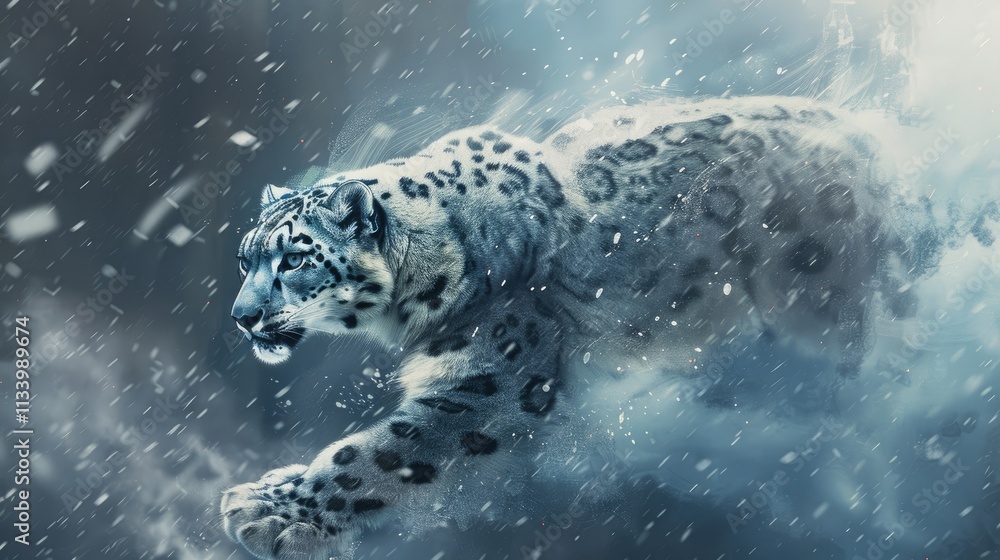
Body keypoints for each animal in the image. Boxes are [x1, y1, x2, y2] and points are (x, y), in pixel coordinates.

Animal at [222, 95, 946, 559]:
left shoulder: (491, 379)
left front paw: (267, 513)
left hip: (821, 300)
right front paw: (271, 491)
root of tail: (880, 144)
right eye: (245, 258)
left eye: (294, 258)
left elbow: (374, 454)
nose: (242, 316)